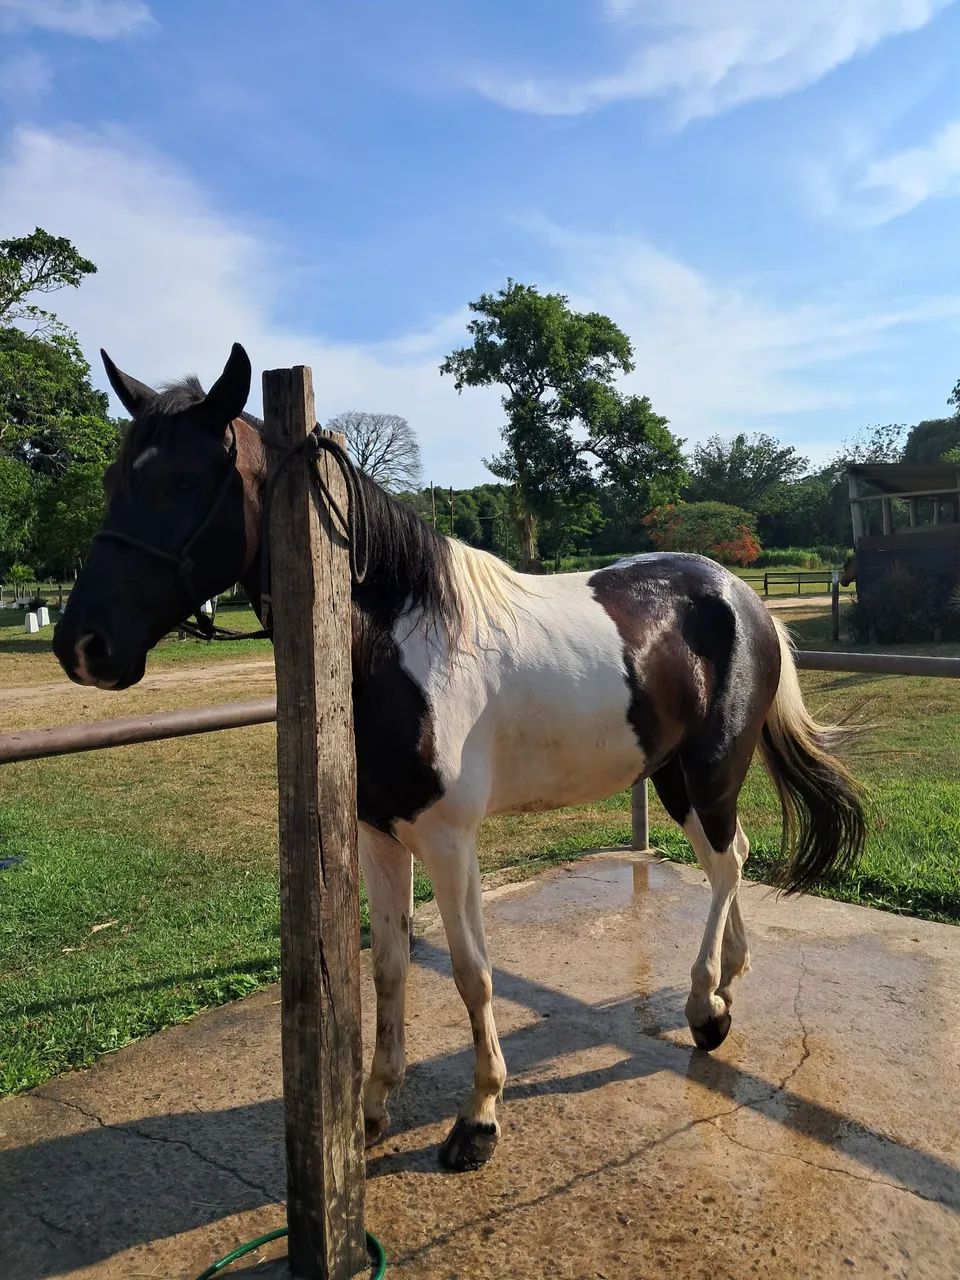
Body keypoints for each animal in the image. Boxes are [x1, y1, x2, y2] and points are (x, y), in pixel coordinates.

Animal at [53, 343, 865, 1172]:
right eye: (115, 480)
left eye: (184, 481)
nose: (83, 645)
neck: (394, 644)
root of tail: (742, 595)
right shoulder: (379, 835)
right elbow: (387, 964)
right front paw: (372, 1108)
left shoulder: (448, 841)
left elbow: (474, 973)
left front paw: (478, 1117)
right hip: (673, 776)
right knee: (728, 858)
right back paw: (727, 980)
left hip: (709, 770)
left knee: (727, 864)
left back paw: (706, 1005)